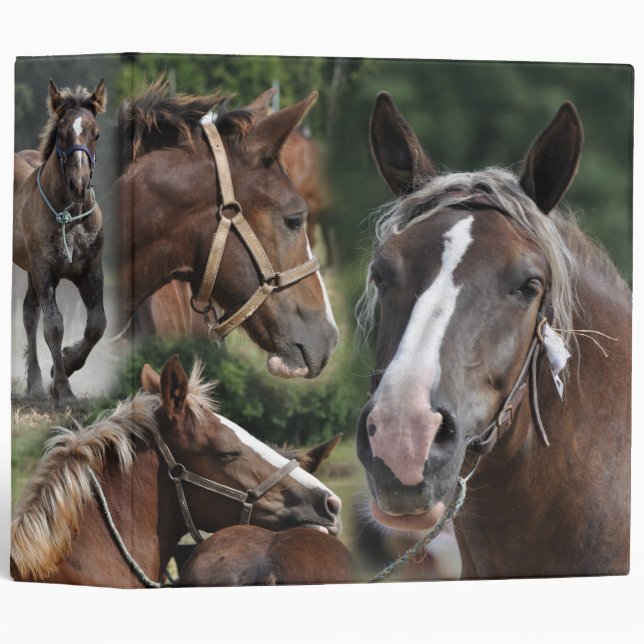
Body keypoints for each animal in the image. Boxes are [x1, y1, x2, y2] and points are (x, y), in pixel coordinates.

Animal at [13, 80, 107, 406]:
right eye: (62, 133)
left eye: (96, 133)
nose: (79, 185)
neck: (70, 216)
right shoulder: (44, 269)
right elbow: (53, 326)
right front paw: (64, 391)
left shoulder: (90, 269)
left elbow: (97, 325)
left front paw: (64, 363)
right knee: (31, 316)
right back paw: (37, 384)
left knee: (29, 311)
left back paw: (36, 383)